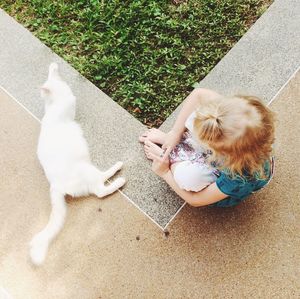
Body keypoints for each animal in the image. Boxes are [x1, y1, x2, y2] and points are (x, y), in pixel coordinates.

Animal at [29, 62, 125, 264]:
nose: (42, 95)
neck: (53, 107)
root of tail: (56, 186)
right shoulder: (69, 104)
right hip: (89, 171)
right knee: (100, 190)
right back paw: (119, 174)